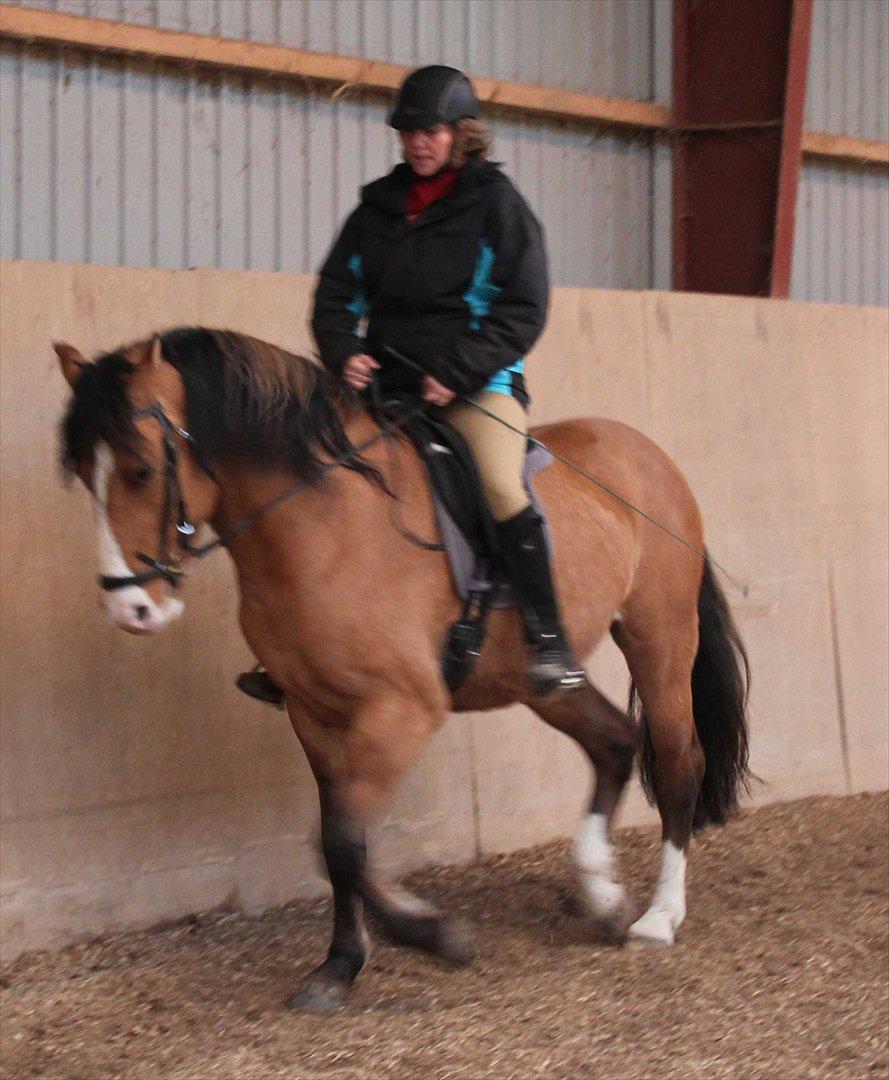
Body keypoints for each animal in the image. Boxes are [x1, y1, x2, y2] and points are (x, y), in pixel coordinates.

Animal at [54, 328, 751, 1010]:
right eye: (86, 474)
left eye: (142, 470)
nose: (129, 609)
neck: (323, 527)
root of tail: (649, 455)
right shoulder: (312, 711)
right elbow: (339, 841)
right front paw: (345, 962)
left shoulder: (402, 709)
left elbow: (340, 840)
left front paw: (430, 933)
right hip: (540, 681)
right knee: (613, 742)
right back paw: (602, 896)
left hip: (660, 638)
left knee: (678, 759)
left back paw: (658, 917)